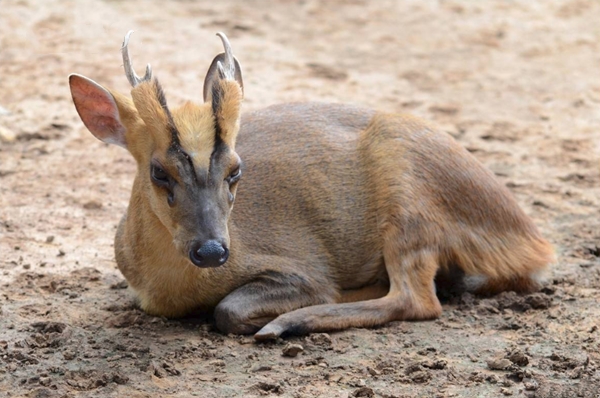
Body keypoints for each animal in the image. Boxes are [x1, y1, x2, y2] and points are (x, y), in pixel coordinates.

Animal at [68, 32, 556, 340]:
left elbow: (229, 309)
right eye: (159, 172)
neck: (169, 288)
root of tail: (532, 239)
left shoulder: (299, 265)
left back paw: (288, 323)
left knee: (418, 298)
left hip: (409, 196)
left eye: (236, 170)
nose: (211, 251)